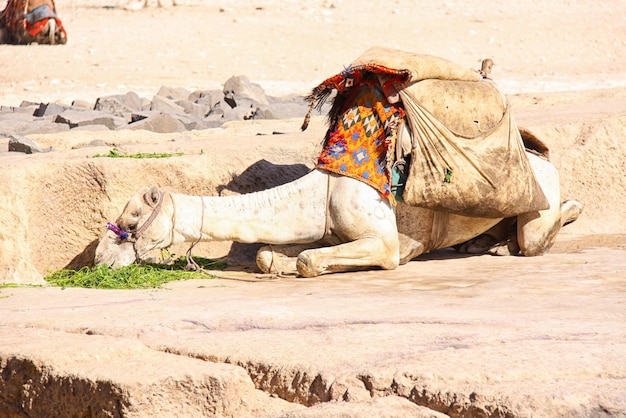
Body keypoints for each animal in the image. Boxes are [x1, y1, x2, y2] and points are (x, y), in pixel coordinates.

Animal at [95, 139, 584, 278]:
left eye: (130, 220)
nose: (98, 258)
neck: (319, 194)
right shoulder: (323, 230)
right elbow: (268, 254)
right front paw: (276, 264)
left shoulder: (384, 242)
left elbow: (312, 260)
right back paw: (483, 245)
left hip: (540, 196)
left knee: (537, 234)